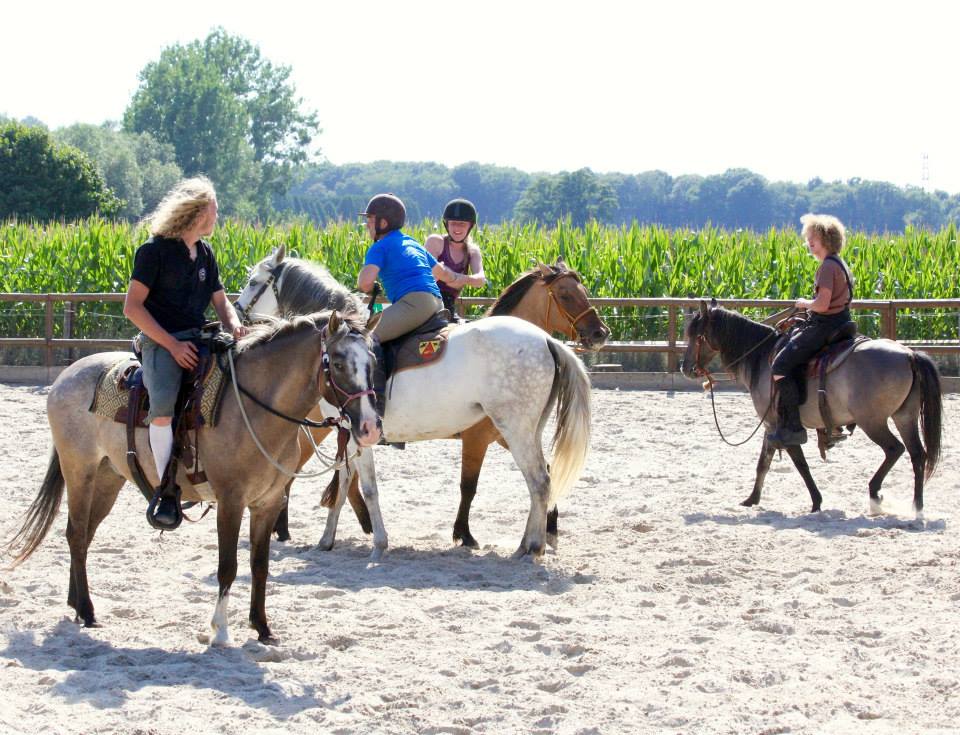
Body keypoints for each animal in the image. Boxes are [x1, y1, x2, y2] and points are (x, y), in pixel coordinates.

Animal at [9, 314, 382, 648]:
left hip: (107, 478)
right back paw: (86, 610)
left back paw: (77, 604)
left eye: (373, 361)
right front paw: (220, 631)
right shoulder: (231, 502)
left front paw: (262, 628)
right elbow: (228, 567)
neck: (253, 409)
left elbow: (259, 566)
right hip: (80, 471)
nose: (370, 427)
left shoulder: (268, 502)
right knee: (75, 534)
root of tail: (68, 374)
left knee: (84, 535)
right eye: (337, 363)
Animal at [234, 250, 608, 548]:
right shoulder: (351, 430)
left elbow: (365, 485)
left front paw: (378, 540)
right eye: (566, 293)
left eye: (253, 281)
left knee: (540, 480)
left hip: (516, 430)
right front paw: (328, 539)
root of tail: (547, 341)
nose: (600, 333)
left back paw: (530, 546)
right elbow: (346, 484)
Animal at [684, 300, 944, 516]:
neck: (762, 358)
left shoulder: (780, 426)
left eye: (696, 335)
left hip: (873, 421)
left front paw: (816, 502)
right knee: (917, 454)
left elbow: (800, 464)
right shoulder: (771, 426)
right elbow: (763, 463)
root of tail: (909, 354)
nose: (685, 368)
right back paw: (917, 507)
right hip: (905, 416)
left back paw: (875, 492)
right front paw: (751, 499)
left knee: (894, 449)